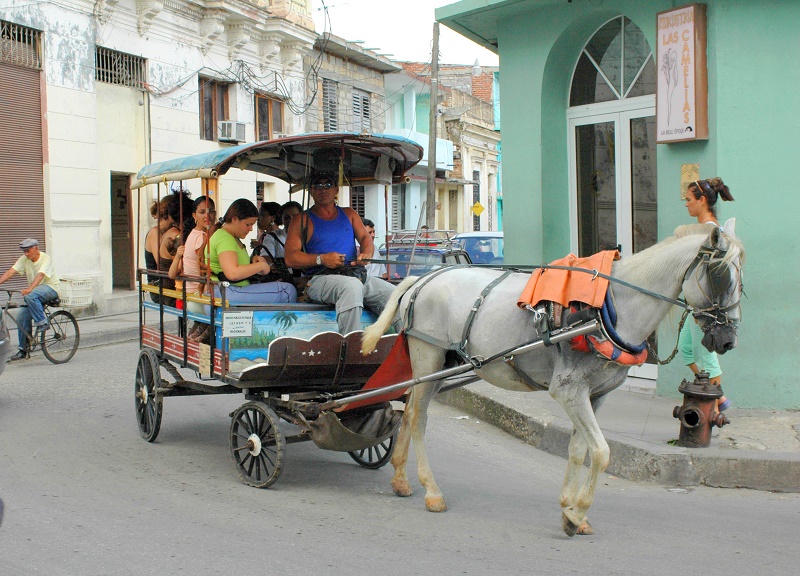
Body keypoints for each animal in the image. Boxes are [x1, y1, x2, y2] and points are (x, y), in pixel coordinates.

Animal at [362, 219, 744, 536]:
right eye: (720, 275)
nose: (727, 341)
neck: (611, 309)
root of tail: (423, 278)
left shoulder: (595, 395)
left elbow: (578, 450)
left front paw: (568, 507)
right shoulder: (568, 390)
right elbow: (601, 452)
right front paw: (576, 515)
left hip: (443, 364)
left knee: (409, 411)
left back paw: (400, 478)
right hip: (428, 359)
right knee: (417, 417)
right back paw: (431, 490)